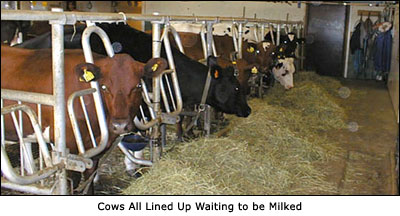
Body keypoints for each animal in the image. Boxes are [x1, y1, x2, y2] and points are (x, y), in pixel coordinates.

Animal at [0, 44, 166, 193]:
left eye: (138, 86)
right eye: (104, 87)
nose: (120, 126)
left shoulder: (95, 150)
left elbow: (89, 181)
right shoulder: (69, 151)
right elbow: (73, 182)